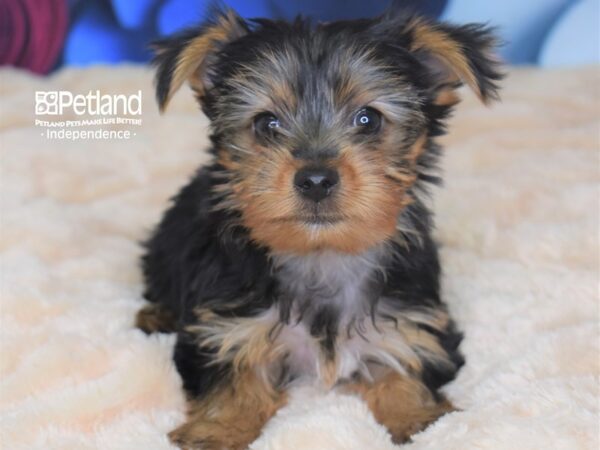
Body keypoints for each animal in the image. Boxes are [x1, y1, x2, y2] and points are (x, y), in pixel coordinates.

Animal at [137, 7, 502, 450]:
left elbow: (406, 366)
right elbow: (231, 375)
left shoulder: (415, 321)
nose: (315, 179)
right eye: (266, 124)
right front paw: (217, 430)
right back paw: (155, 315)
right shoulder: (225, 325)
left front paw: (419, 419)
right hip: (168, 242)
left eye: (368, 119)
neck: (322, 252)